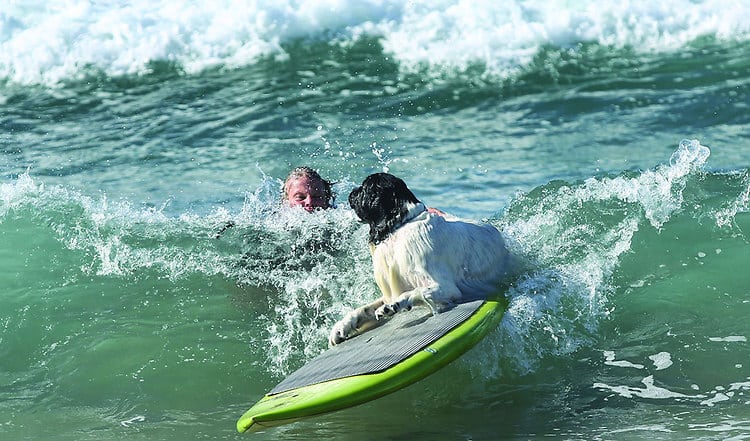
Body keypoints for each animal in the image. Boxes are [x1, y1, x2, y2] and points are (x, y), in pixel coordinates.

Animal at [330, 172, 516, 344]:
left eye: (364, 188)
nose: (351, 193)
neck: (402, 225)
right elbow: (364, 309)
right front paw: (342, 327)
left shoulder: (446, 287)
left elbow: (417, 291)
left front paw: (393, 306)